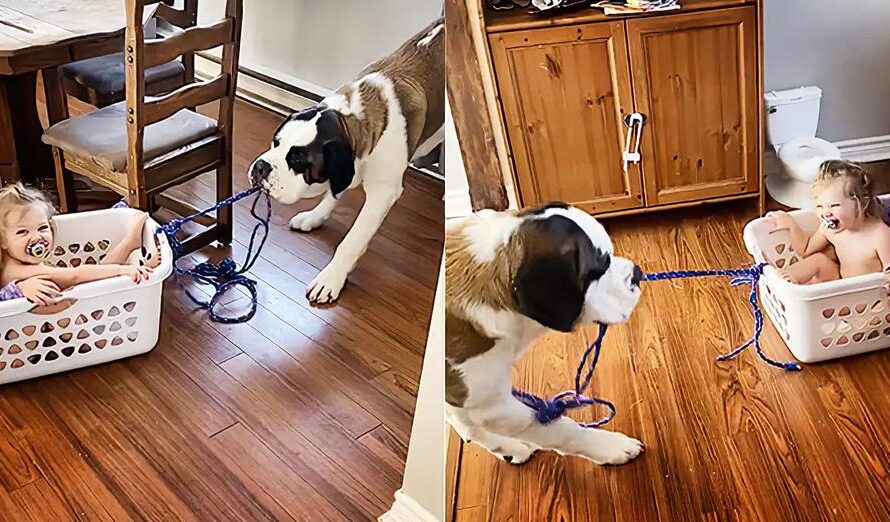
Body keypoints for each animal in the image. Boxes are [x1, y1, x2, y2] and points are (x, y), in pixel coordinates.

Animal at [248, 18, 442, 302]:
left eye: (297, 158)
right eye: (275, 142)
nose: (261, 167)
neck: (352, 121)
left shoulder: (383, 193)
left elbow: (352, 241)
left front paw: (330, 279)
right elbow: (334, 192)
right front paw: (315, 216)